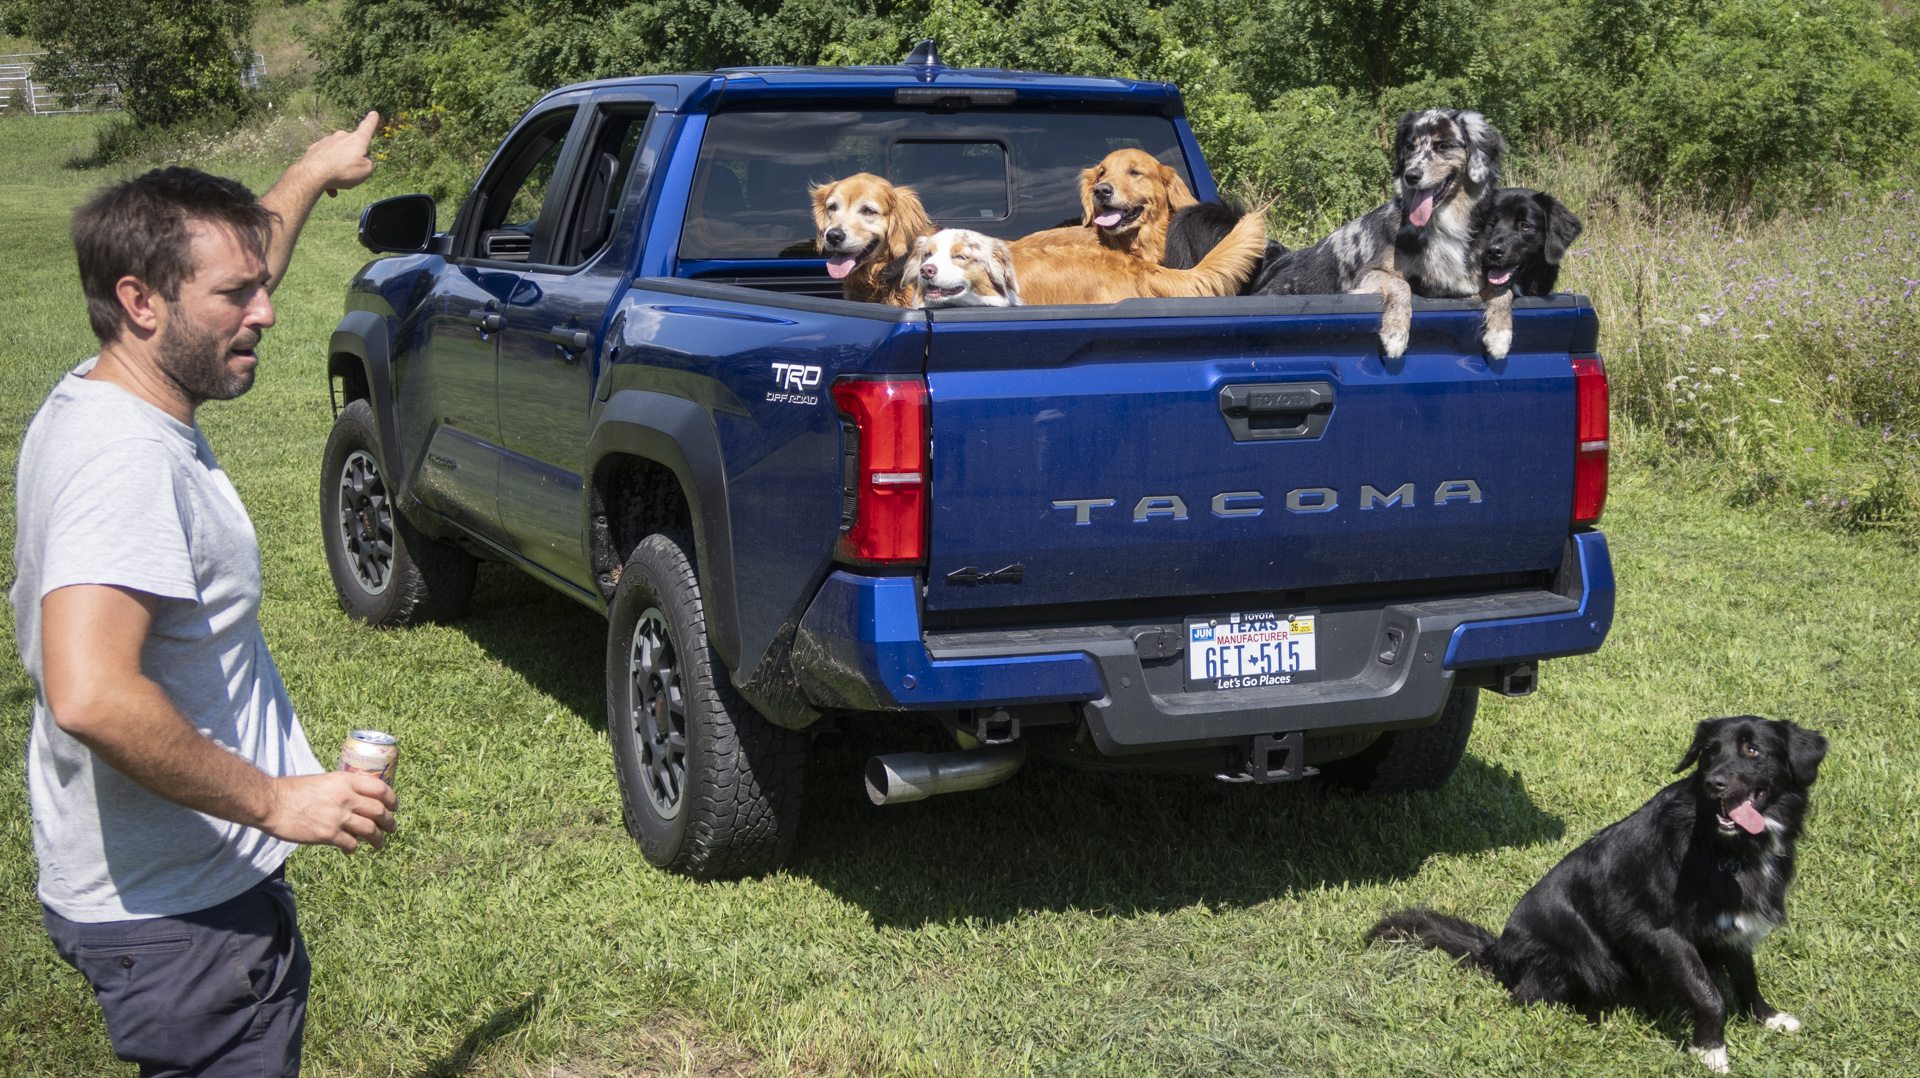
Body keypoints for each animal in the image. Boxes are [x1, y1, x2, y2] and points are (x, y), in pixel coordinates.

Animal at [1367, 714, 1827, 1068]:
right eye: (1709, 752)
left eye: (1752, 751)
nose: (1714, 782)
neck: (1726, 846)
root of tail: (1497, 951)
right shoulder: (1661, 933)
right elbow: (1708, 993)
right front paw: (1711, 1051)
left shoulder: (1735, 926)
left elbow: (1747, 978)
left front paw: (1766, 1018)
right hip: (1573, 956)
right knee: (1530, 996)